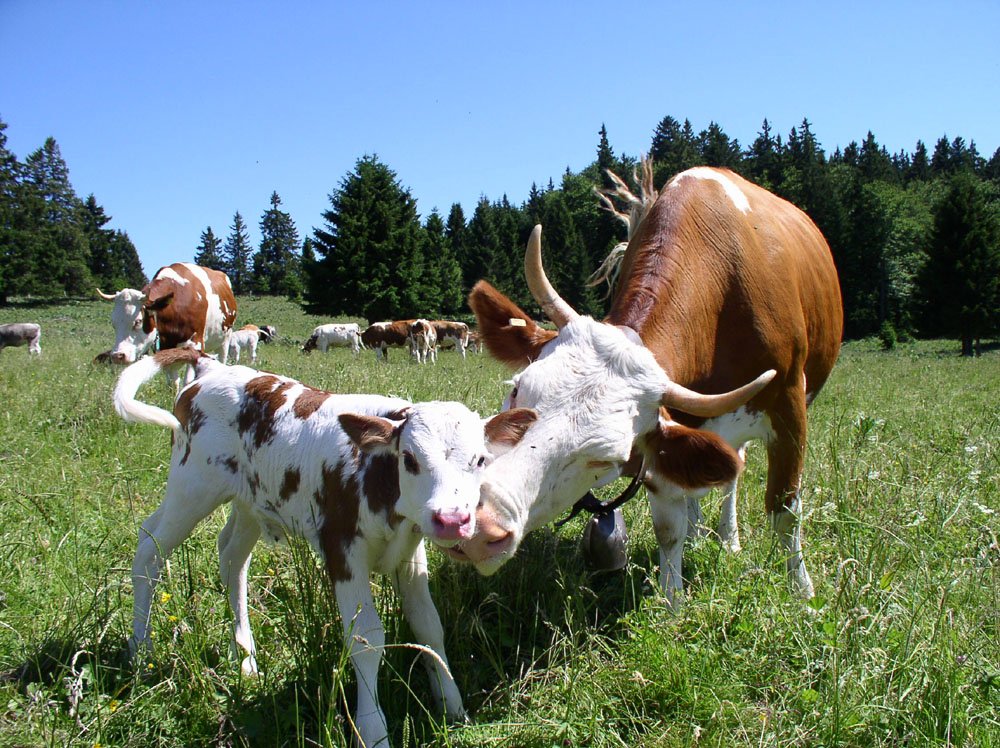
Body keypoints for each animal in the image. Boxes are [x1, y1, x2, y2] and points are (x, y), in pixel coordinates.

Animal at [97, 262, 238, 366]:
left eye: (138, 321)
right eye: (113, 323)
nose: (117, 355)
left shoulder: (196, 344)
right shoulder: (165, 347)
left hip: (225, 340)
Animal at [111, 348, 540, 748]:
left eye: (480, 459)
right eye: (409, 459)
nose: (452, 519)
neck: (378, 478)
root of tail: (211, 366)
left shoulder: (410, 553)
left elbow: (429, 626)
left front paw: (452, 705)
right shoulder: (341, 549)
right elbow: (367, 639)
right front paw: (373, 730)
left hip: (248, 499)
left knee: (231, 556)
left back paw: (244, 657)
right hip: (193, 485)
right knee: (149, 549)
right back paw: (141, 652)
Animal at [460, 161, 844, 604]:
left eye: (606, 458)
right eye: (517, 389)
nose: (476, 525)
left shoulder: (789, 406)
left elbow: (785, 510)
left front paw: (803, 592)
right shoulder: (663, 436)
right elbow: (669, 527)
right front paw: (673, 600)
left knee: (736, 474)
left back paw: (729, 539)